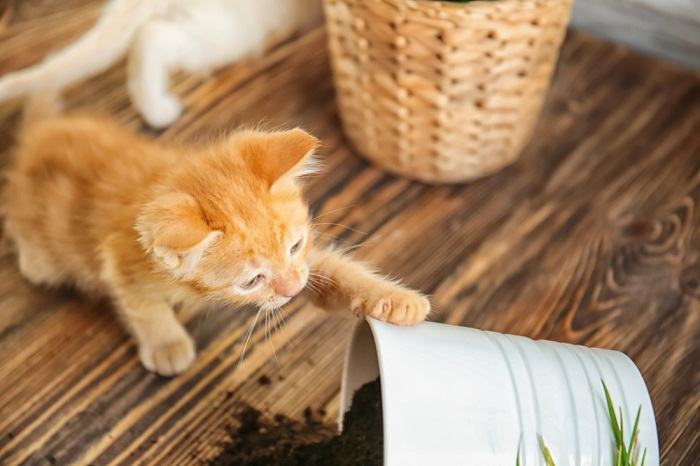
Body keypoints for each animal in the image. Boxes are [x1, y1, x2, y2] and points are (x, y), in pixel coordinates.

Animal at [4, 104, 432, 374]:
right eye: (251, 281)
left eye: (295, 246)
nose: (292, 291)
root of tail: (34, 138)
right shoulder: (121, 261)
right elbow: (143, 307)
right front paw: (166, 344)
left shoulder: (304, 267)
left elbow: (334, 274)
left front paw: (394, 301)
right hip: (42, 252)